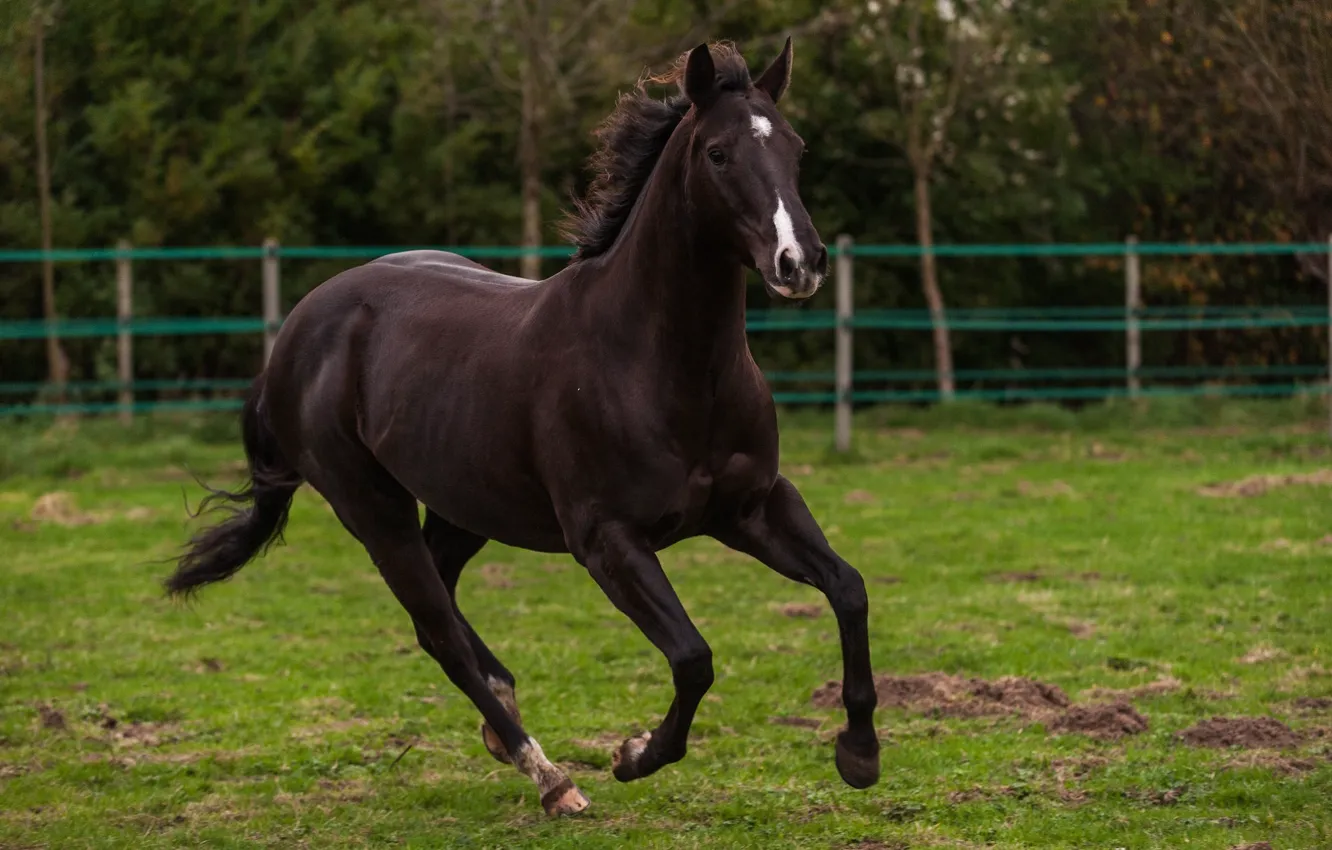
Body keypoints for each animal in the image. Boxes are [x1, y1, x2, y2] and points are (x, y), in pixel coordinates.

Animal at [166, 41, 879, 820]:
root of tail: (295, 333)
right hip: (372, 509)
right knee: (437, 628)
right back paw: (549, 776)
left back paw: (503, 717)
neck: (660, 362)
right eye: (719, 153)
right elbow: (693, 658)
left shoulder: (753, 507)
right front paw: (633, 756)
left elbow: (848, 588)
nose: (799, 262)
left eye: (794, 146)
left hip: (463, 504)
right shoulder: (607, 540)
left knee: (440, 606)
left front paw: (859, 754)